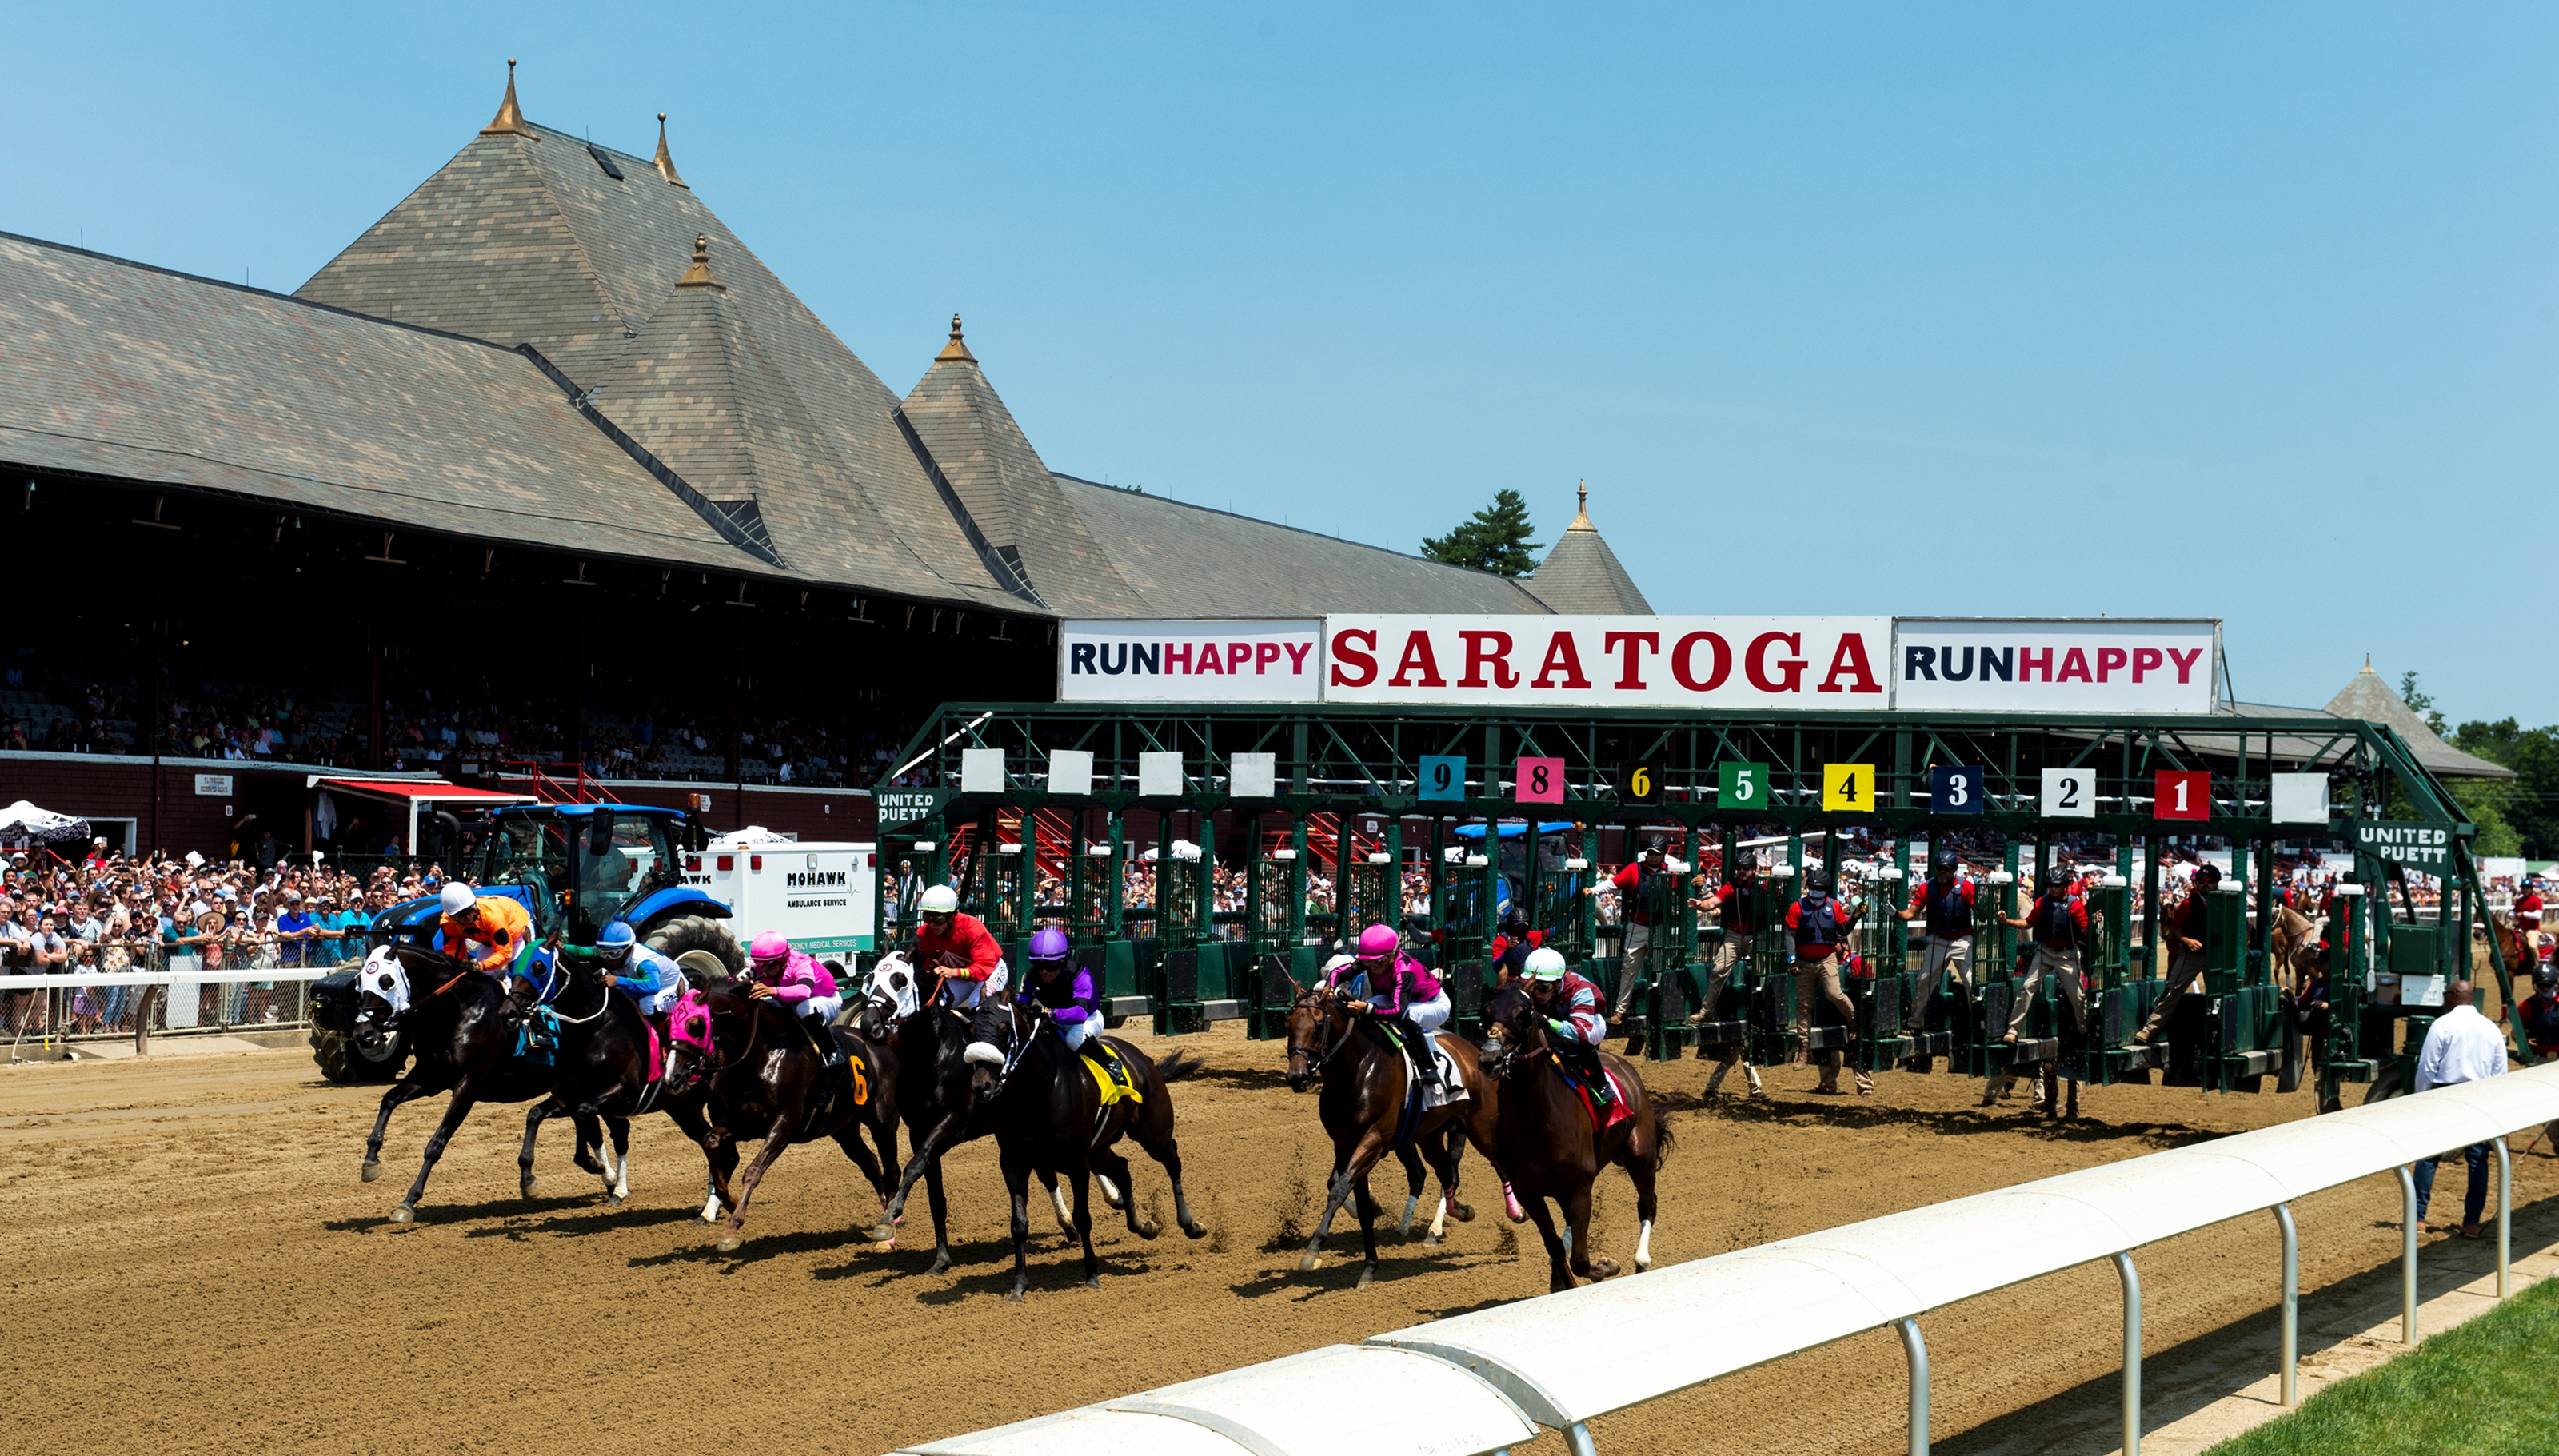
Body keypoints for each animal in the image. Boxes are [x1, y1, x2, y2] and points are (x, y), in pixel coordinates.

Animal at [660, 987, 900, 1248]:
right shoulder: (744, 1122)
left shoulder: (785, 1124)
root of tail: (881, 1042)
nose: (671, 1078)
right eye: (668, 1024)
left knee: (892, 1171)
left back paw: (889, 1227)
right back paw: (885, 1216)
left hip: (883, 1121)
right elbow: (711, 1141)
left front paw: (732, 1228)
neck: (761, 1056)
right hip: (844, 1129)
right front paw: (731, 1202)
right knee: (871, 1164)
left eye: (696, 1025)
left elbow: (753, 1170)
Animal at [967, 998, 1208, 1294]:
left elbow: (1083, 1218)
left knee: (1172, 1160)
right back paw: (1143, 1226)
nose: (982, 1087)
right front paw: (1019, 1285)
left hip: (1153, 1134)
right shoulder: (1014, 1161)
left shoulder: (1076, 1163)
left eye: (1003, 1032)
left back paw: (1190, 1224)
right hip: (1098, 1150)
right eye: (971, 1032)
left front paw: (1092, 1274)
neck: (1037, 1091)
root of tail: (1142, 1059)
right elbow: (1019, 1224)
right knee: (1122, 1169)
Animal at [1280, 977, 1494, 1284]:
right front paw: (1369, 1267)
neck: (1357, 1070)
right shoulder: (1345, 1143)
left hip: (1468, 1127)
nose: (1297, 1077)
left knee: (1461, 1169)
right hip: (1426, 1136)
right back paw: (1448, 1217)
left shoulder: (1375, 1140)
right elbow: (1349, 1194)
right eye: (1289, 1024)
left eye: (1319, 1025)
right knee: (1440, 1174)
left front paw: (1313, 1250)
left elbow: (1340, 1188)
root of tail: (1471, 1049)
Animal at [1474, 982, 1668, 1289]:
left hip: (1641, 1155)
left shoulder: (1580, 1186)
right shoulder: (1528, 1192)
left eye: (1523, 1013)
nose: (1490, 1059)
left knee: (1648, 1205)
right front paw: (1566, 1278)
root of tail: (1625, 1067)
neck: (1536, 1121)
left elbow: (1580, 1260)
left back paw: (1642, 1260)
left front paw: (1608, 1265)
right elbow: (1555, 1247)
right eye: (1486, 1011)